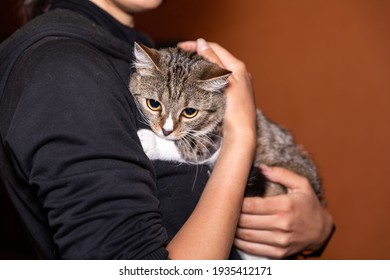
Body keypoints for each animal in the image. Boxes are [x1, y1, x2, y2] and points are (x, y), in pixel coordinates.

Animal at [128, 42, 322, 260]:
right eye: (153, 104)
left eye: (190, 112)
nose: (166, 130)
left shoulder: (215, 138)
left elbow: (191, 146)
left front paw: (150, 141)